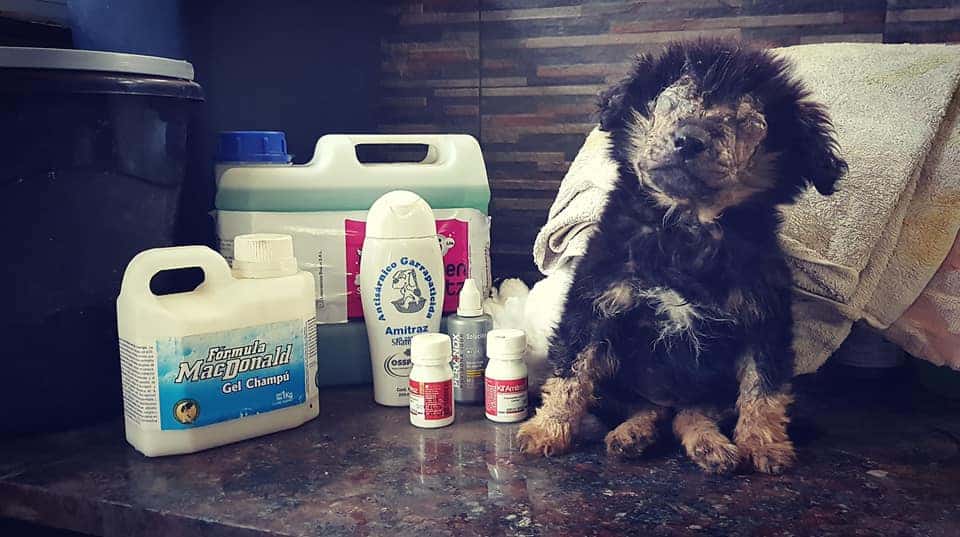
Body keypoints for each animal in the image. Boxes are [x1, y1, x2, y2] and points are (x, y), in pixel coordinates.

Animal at [516, 39, 848, 474]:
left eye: (747, 124)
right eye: (669, 103)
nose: (689, 139)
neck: (685, 229)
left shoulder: (766, 319)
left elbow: (764, 388)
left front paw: (764, 444)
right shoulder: (593, 303)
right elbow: (570, 371)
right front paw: (547, 430)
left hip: (714, 387)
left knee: (693, 413)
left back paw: (711, 446)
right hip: (616, 374)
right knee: (645, 408)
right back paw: (633, 434)